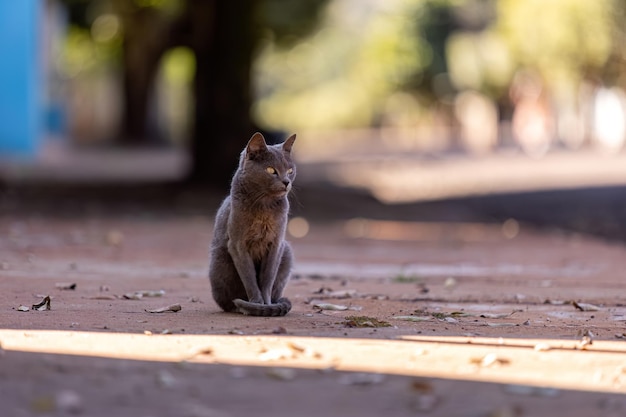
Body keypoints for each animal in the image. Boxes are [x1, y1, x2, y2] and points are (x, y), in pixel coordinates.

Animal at [208, 131, 296, 316]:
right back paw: (239, 307)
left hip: (287, 252)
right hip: (220, 259)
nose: (287, 182)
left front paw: (266, 305)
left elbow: (267, 277)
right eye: (271, 170)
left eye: (290, 171)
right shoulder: (237, 245)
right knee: (226, 300)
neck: (264, 206)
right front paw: (257, 303)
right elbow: (248, 276)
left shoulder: (276, 244)